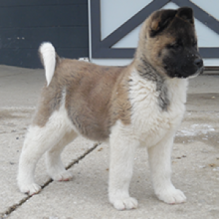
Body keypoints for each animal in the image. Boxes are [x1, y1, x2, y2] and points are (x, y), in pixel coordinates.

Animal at [17, 6, 204, 210]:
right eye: (176, 45)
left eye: (194, 44)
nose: (200, 63)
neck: (158, 85)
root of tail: (60, 62)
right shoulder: (124, 137)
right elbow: (123, 172)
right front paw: (121, 199)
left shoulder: (163, 139)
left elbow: (163, 170)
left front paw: (167, 193)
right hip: (48, 124)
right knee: (28, 153)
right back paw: (26, 184)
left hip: (69, 127)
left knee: (53, 150)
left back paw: (58, 173)